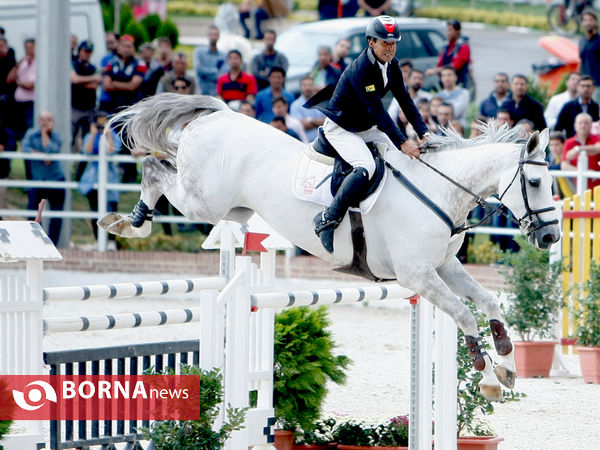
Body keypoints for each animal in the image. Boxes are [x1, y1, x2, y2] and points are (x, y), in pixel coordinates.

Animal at [101, 93, 560, 400]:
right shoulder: (418, 276)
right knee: (154, 168)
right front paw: (488, 377)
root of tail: (221, 114)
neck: (440, 191)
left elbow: (490, 303)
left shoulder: (446, 268)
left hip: (231, 208)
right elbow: (465, 313)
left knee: (161, 169)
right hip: (203, 201)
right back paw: (129, 224)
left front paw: (508, 367)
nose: (550, 237)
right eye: (536, 182)